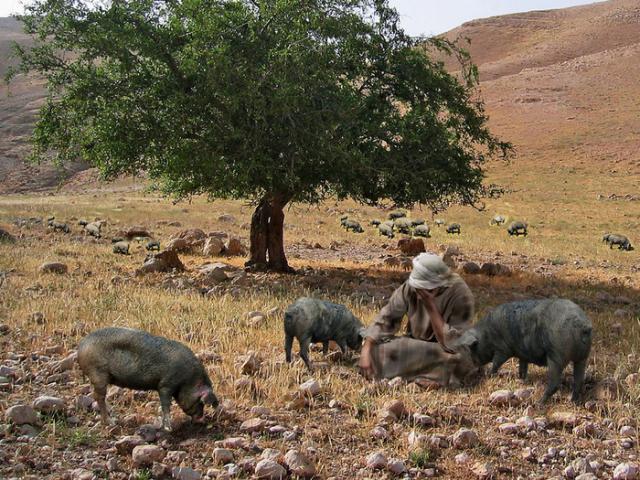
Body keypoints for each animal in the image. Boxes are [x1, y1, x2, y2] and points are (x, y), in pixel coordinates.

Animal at [76, 328, 218, 430]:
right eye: (200, 402)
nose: (201, 419)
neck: (188, 380)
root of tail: (81, 346)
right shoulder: (165, 385)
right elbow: (165, 404)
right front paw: (168, 428)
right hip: (98, 373)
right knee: (98, 397)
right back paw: (111, 422)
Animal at [458, 300, 592, 404]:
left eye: (473, 348)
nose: (477, 369)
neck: (487, 335)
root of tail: (583, 325)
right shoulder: (522, 354)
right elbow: (522, 367)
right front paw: (521, 379)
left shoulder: (503, 349)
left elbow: (496, 363)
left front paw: (489, 375)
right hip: (582, 358)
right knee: (578, 381)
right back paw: (573, 401)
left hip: (557, 356)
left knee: (555, 384)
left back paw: (539, 403)